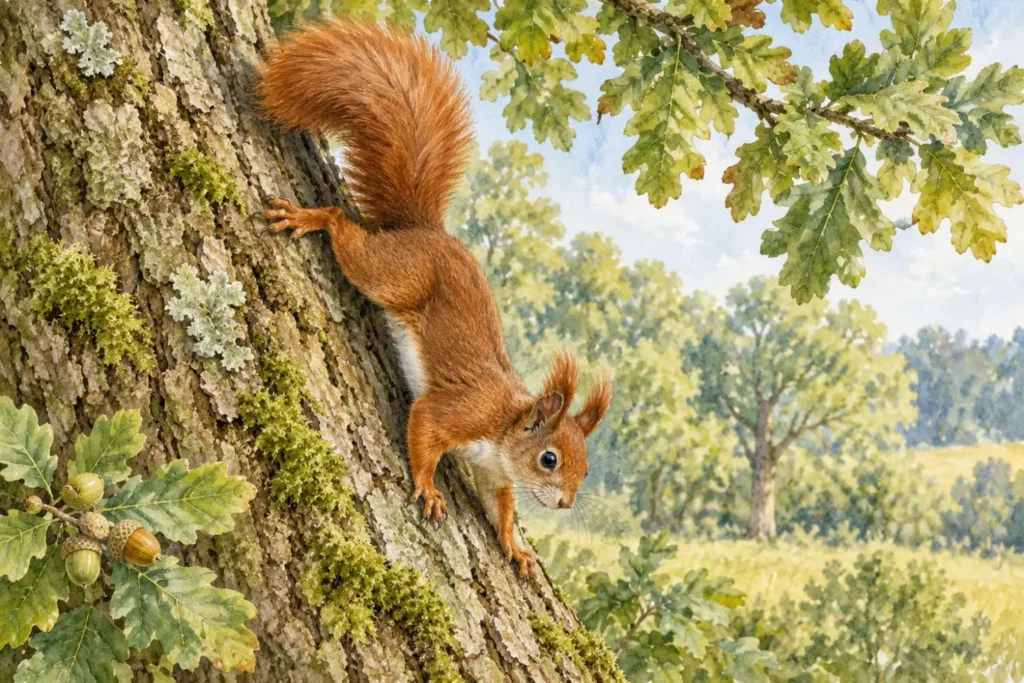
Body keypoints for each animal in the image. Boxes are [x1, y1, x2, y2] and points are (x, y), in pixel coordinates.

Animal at [255, 19, 611, 577]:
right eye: (550, 458)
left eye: (587, 466)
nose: (566, 502)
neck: (504, 429)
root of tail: (425, 230)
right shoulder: (458, 412)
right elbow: (423, 430)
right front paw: (426, 487)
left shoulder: (494, 473)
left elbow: (500, 507)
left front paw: (514, 545)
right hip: (394, 275)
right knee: (344, 228)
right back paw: (310, 217)